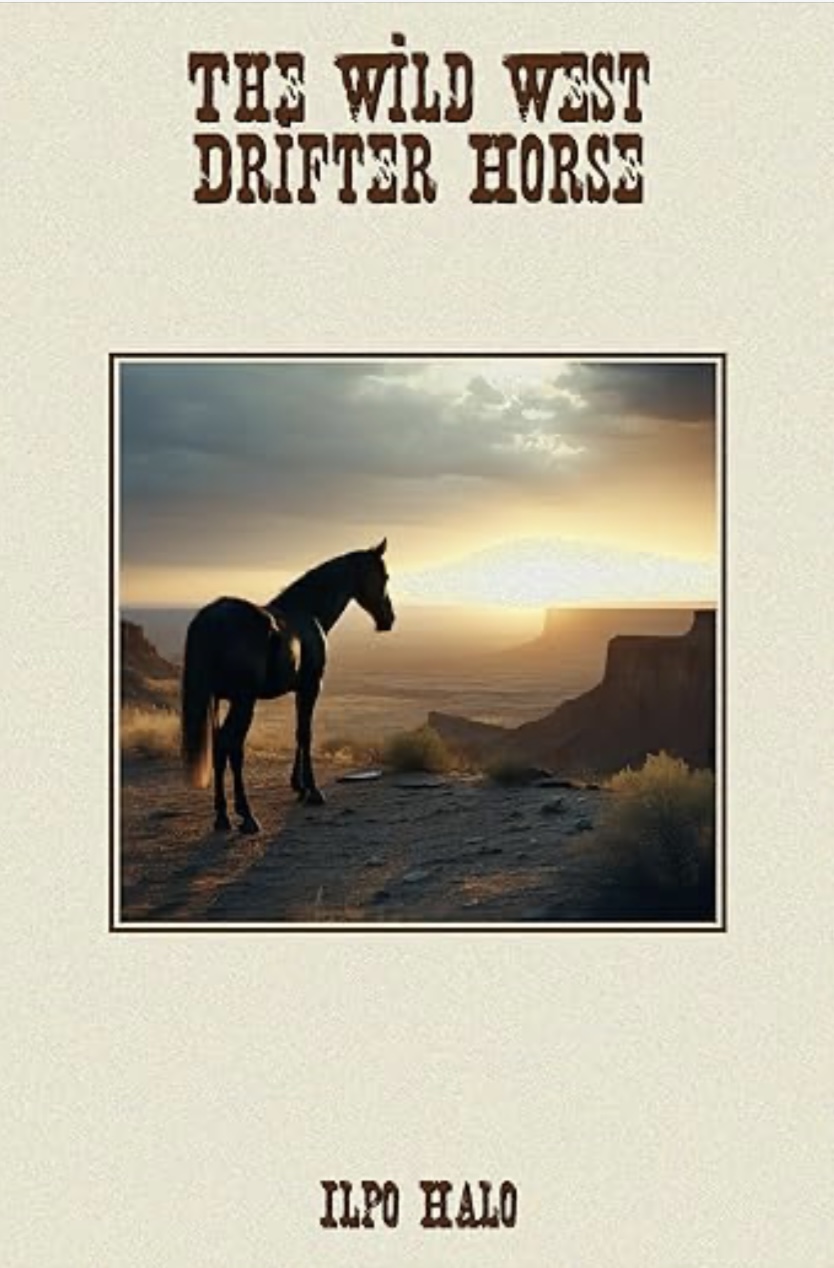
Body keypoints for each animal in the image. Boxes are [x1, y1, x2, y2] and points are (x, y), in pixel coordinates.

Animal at [180, 539, 395, 833]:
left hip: (217, 700)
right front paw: (313, 790)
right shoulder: (312, 686)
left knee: (219, 748)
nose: (389, 619)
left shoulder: (298, 690)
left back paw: (222, 816)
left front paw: (298, 785)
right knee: (231, 745)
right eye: (384, 576)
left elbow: (297, 732)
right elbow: (306, 733)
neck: (307, 612)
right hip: (243, 702)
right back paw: (246, 815)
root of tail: (212, 618)